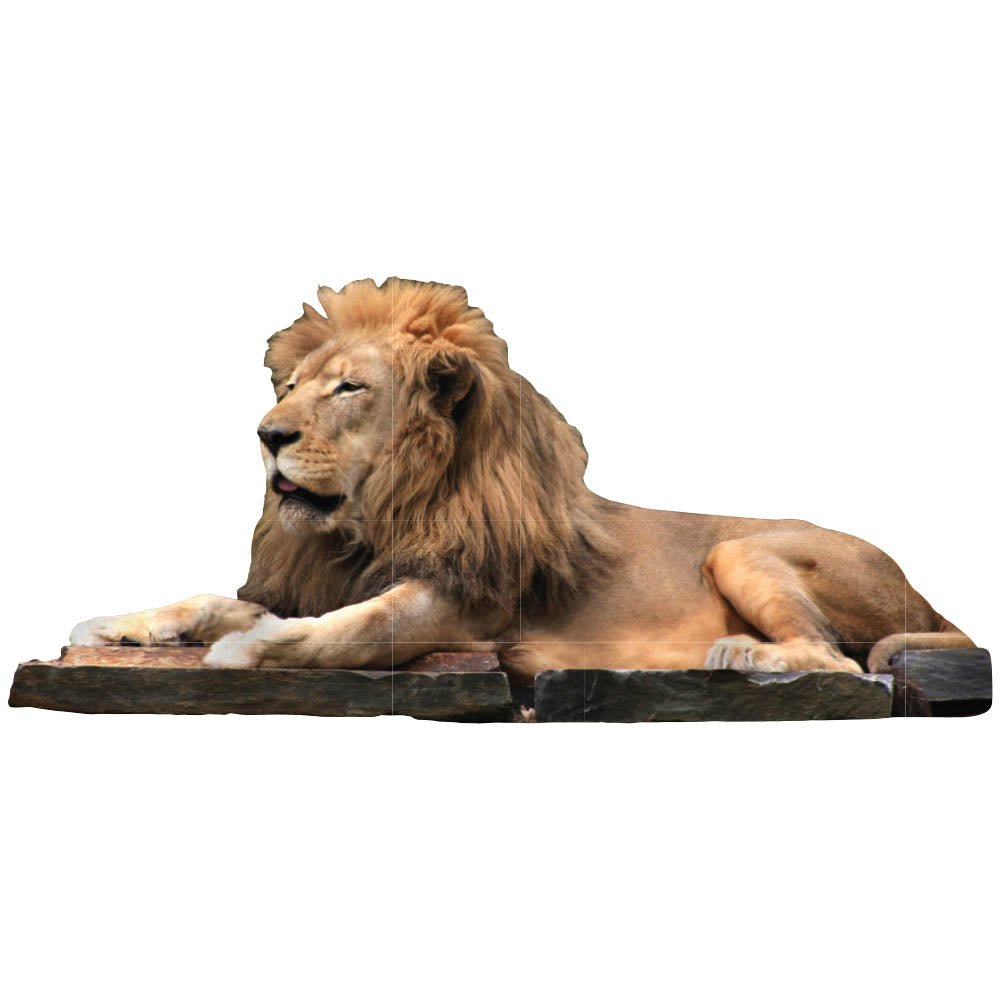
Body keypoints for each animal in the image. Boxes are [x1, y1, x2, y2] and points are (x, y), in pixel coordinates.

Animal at [70, 277, 974, 684]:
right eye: (288, 387)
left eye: (349, 388)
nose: (267, 437)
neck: (377, 518)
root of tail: (925, 597)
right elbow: (212, 599)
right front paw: (122, 624)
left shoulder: (467, 605)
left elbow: (351, 629)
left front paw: (246, 650)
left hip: (741, 552)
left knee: (839, 662)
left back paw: (736, 653)